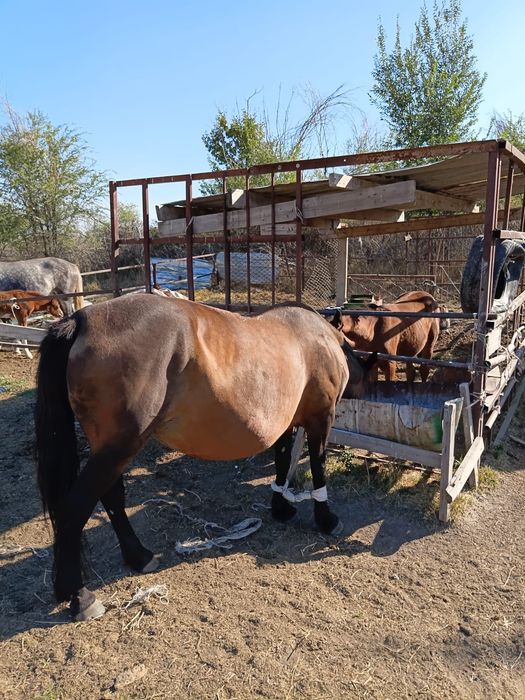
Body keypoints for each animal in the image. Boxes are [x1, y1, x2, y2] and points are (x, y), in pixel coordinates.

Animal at [35, 294, 374, 621]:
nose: (364, 384)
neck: (318, 338)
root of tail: (82, 319)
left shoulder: (286, 422)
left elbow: (281, 465)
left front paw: (281, 508)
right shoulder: (321, 418)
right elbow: (318, 468)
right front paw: (326, 519)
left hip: (109, 450)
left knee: (112, 498)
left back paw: (138, 557)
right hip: (118, 448)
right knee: (75, 507)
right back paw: (80, 596)